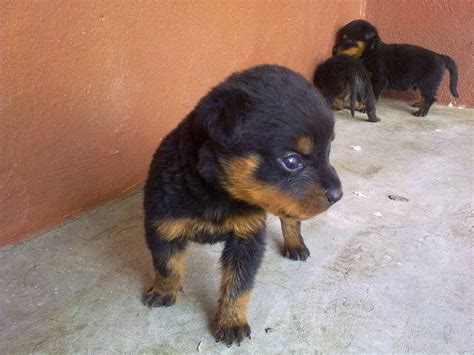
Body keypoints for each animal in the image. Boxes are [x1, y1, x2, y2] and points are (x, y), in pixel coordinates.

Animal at [143, 64, 342, 348]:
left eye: (327, 152)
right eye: (291, 161)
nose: (338, 194)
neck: (217, 194)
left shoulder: (247, 237)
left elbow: (238, 285)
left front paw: (231, 321)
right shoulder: (163, 223)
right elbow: (166, 264)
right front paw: (164, 290)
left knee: (290, 219)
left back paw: (295, 244)